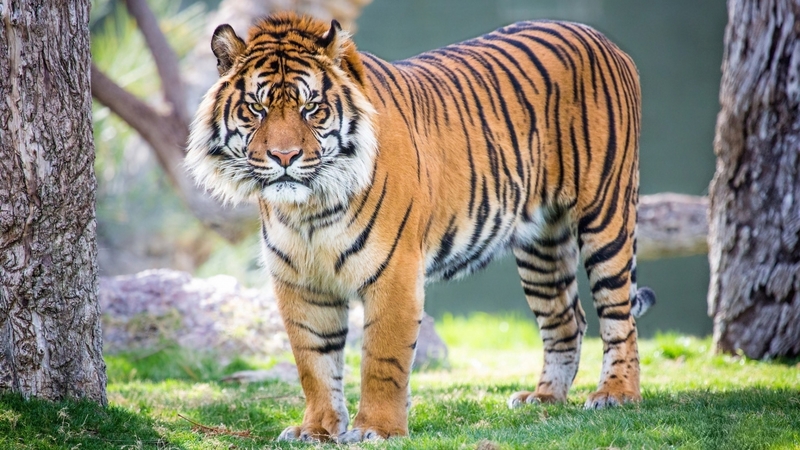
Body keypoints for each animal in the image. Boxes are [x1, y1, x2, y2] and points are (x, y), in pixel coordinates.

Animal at [186, 11, 656, 443]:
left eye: (311, 108)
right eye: (257, 108)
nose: (284, 157)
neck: (309, 209)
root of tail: (597, 36)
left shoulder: (394, 271)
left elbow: (382, 358)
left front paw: (376, 429)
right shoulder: (300, 282)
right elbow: (314, 362)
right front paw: (316, 429)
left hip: (606, 215)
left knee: (618, 316)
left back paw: (616, 394)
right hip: (541, 244)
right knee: (566, 319)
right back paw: (544, 398)